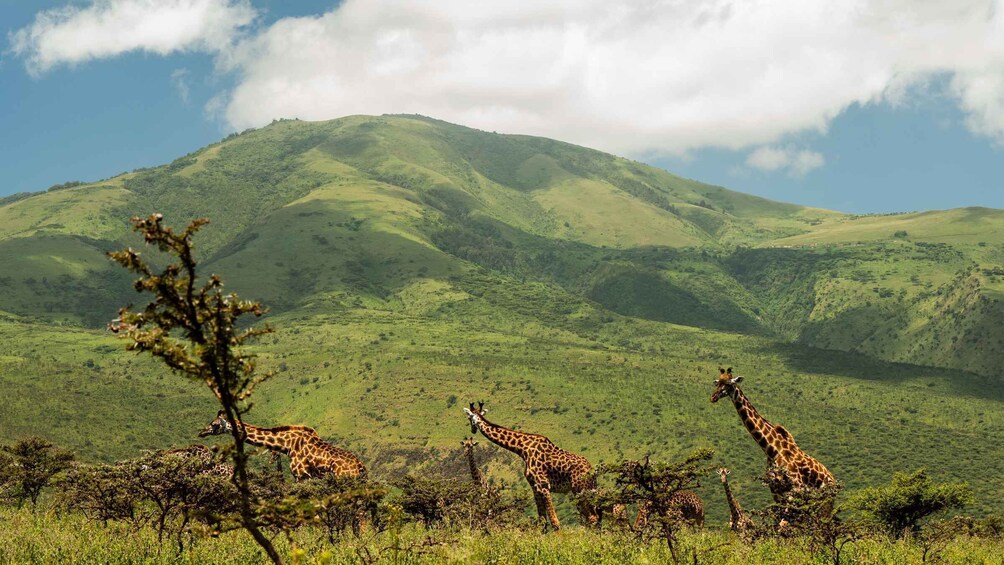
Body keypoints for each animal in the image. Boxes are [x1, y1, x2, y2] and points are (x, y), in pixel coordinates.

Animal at [197, 411, 367, 481]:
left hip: (345, 479)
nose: (202, 432)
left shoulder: (302, 475)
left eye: (214, 424)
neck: (287, 445)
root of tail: (360, 465)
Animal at [461, 401, 594, 529]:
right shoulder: (535, 487)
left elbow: (555, 522)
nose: (473, 430)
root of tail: (591, 469)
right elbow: (542, 522)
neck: (522, 449)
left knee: (591, 518)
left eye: (469, 417)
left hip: (579, 488)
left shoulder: (543, 485)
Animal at [710, 369, 835, 497]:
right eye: (717, 383)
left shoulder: (796, 488)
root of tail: (833, 479)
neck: (771, 450)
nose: (713, 397)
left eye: (729, 384)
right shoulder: (775, 491)